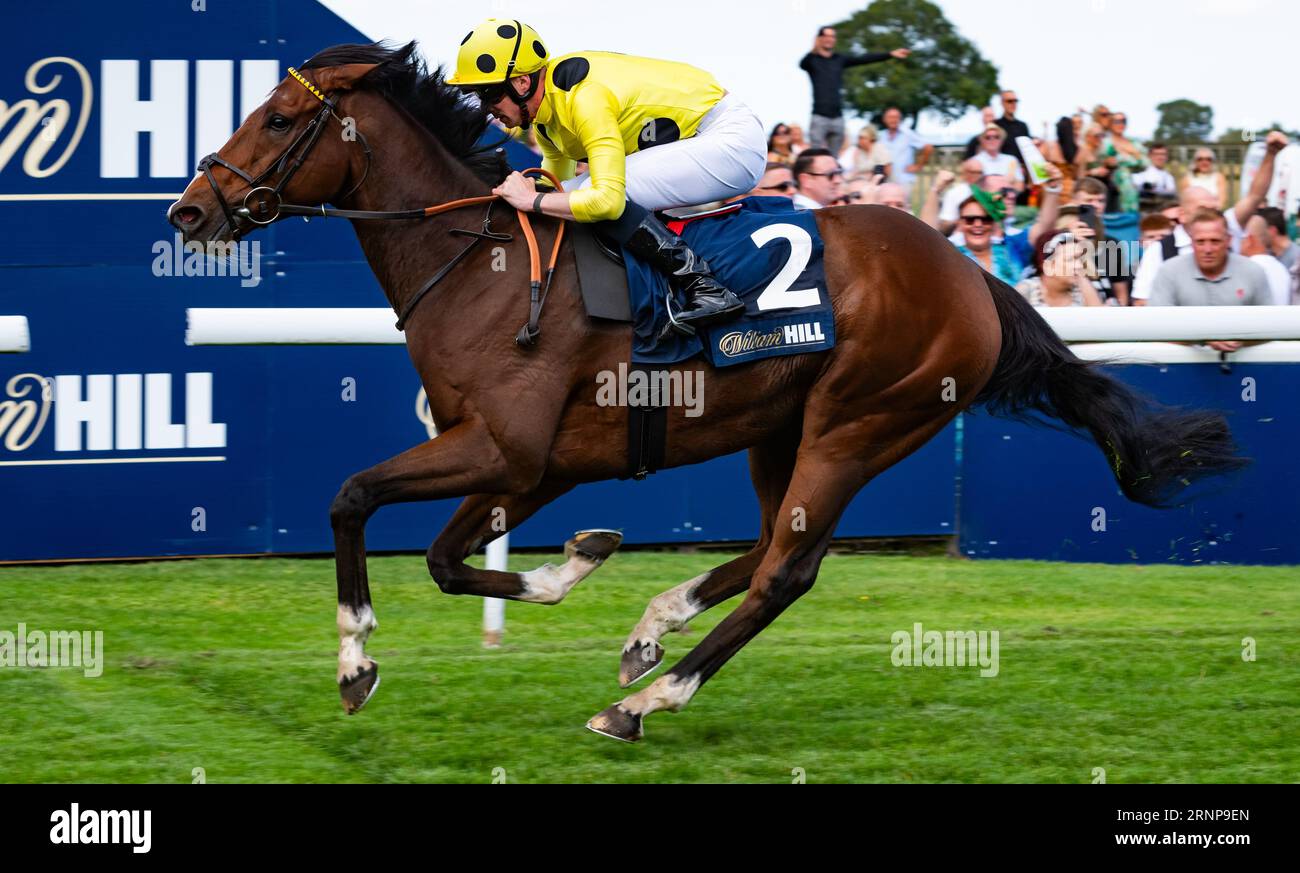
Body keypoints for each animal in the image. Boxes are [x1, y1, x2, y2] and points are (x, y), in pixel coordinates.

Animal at [167, 42, 1242, 743]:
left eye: (276, 118)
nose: (190, 209)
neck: (478, 264)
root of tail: (975, 273)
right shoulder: (529, 463)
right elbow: (442, 557)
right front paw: (577, 563)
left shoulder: (507, 447)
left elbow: (352, 496)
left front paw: (355, 662)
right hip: (782, 428)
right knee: (769, 545)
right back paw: (652, 629)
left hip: (860, 420)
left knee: (786, 573)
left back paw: (645, 700)